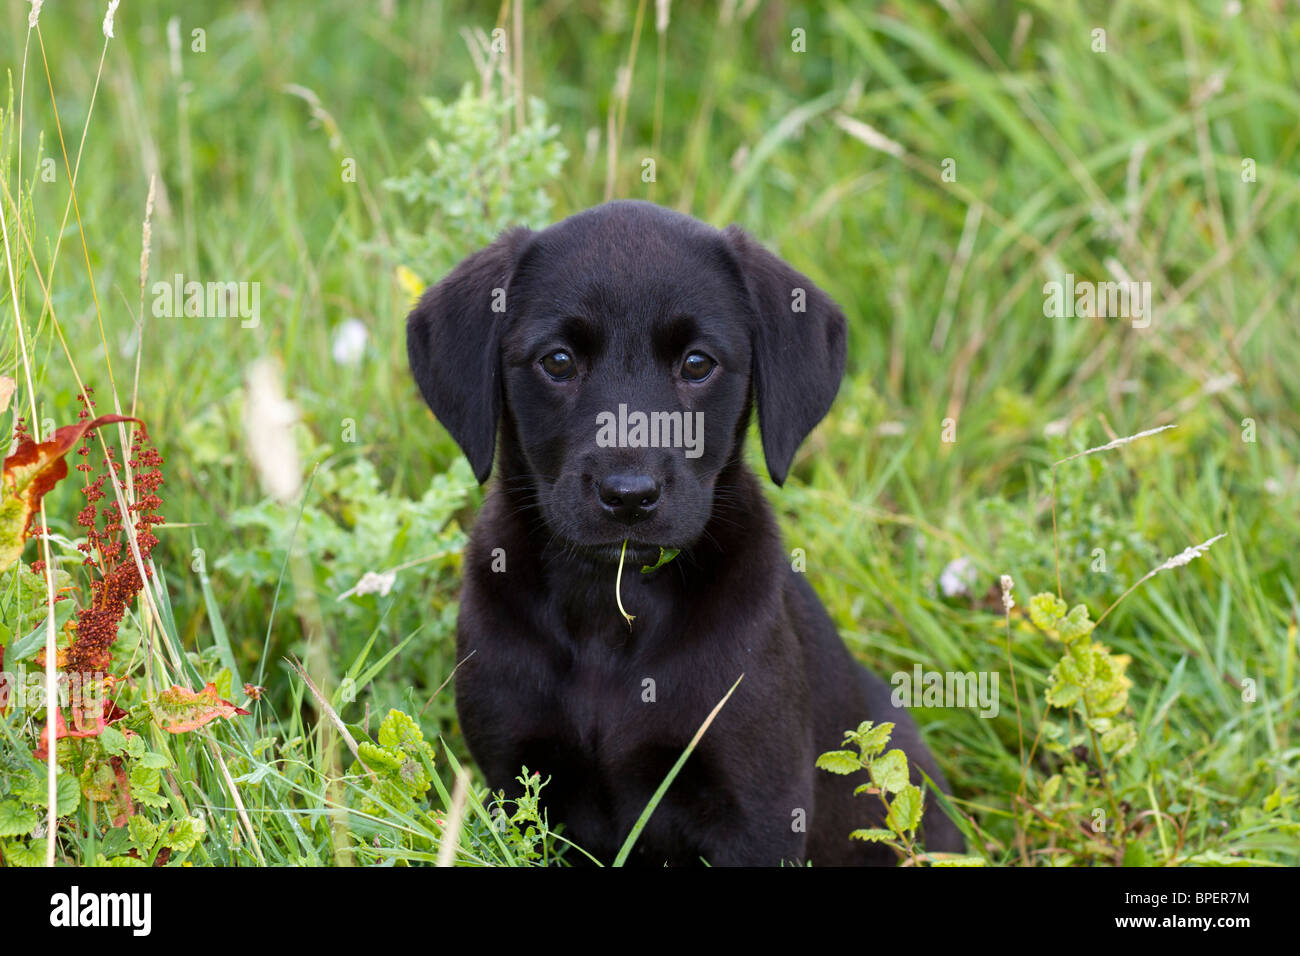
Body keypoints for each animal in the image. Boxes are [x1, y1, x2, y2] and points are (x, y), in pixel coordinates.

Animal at [405, 201, 967, 868]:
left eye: (697, 364)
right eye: (558, 362)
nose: (628, 495)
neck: (612, 607)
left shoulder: (759, 811)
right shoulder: (515, 784)